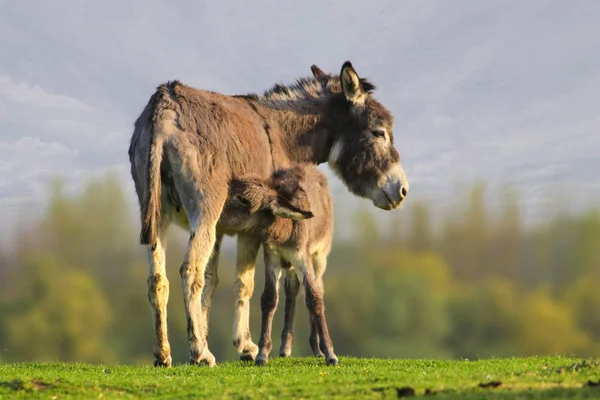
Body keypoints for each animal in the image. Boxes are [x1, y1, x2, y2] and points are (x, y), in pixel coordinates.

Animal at [220, 163, 336, 366]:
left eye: (243, 200)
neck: (285, 230)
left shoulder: (303, 257)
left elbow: (314, 298)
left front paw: (330, 353)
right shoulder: (272, 257)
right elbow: (269, 298)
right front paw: (262, 354)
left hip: (319, 256)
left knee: (317, 289)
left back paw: (317, 348)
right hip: (290, 267)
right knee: (292, 291)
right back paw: (285, 347)